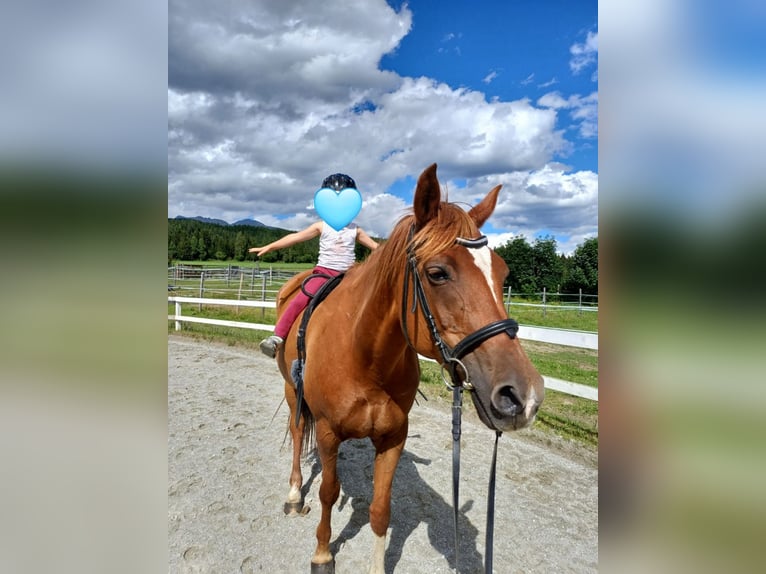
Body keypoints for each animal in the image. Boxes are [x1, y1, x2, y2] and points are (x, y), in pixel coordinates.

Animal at [276, 164, 544, 572]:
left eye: (502, 272)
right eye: (437, 273)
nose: (522, 395)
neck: (366, 358)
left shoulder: (393, 438)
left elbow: (380, 509)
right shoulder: (327, 432)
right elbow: (327, 492)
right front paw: (322, 552)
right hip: (294, 392)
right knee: (296, 432)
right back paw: (293, 494)